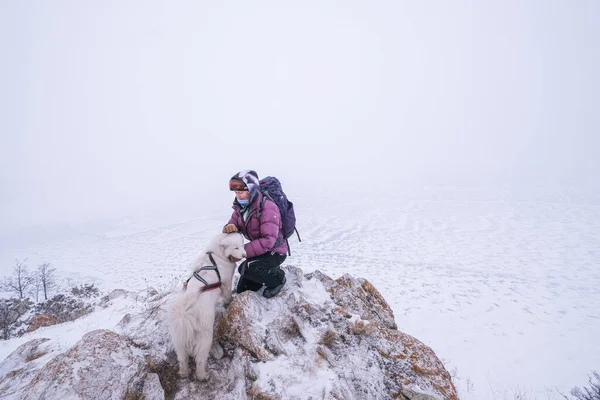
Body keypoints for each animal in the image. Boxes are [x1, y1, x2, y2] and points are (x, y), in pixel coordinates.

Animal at [168, 233, 245, 380]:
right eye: (236, 247)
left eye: (243, 245)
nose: (245, 254)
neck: (217, 255)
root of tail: (184, 314)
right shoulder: (226, 283)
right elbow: (227, 295)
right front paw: (230, 301)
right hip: (205, 337)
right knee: (200, 359)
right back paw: (202, 376)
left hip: (179, 341)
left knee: (182, 359)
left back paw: (184, 373)